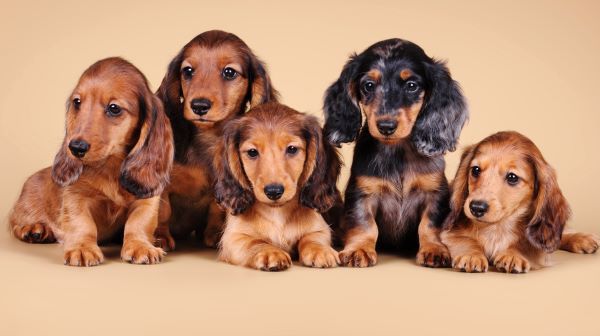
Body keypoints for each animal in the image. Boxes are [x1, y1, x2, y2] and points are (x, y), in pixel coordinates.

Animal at [9, 58, 173, 268]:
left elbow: (139, 222)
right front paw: (82, 248)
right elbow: (82, 223)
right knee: (15, 223)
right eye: (77, 102)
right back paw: (34, 229)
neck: (110, 167)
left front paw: (140, 245)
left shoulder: (148, 200)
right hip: (25, 208)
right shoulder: (75, 196)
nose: (75, 147)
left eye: (114, 108)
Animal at [154, 29, 278, 249]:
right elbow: (163, 210)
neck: (208, 138)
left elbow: (216, 209)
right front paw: (160, 236)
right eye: (187, 71)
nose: (199, 106)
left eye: (229, 72)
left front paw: (215, 234)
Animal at [324, 37, 468, 268]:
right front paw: (359, 249)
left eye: (411, 86)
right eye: (368, 85)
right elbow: (364, 224)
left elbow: (430, 225)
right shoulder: (362, 193)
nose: (386, 126)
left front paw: (435, 250)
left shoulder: (435, 193)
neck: (398, 152)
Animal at [440, 131, 600, 272]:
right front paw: (471, 255)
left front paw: (512, 254)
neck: (497, 228)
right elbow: (466, 240)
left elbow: (526, 244)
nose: (476, 207)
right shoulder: (449, 234)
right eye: (475, 170)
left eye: (512, 177)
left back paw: (582, 238)